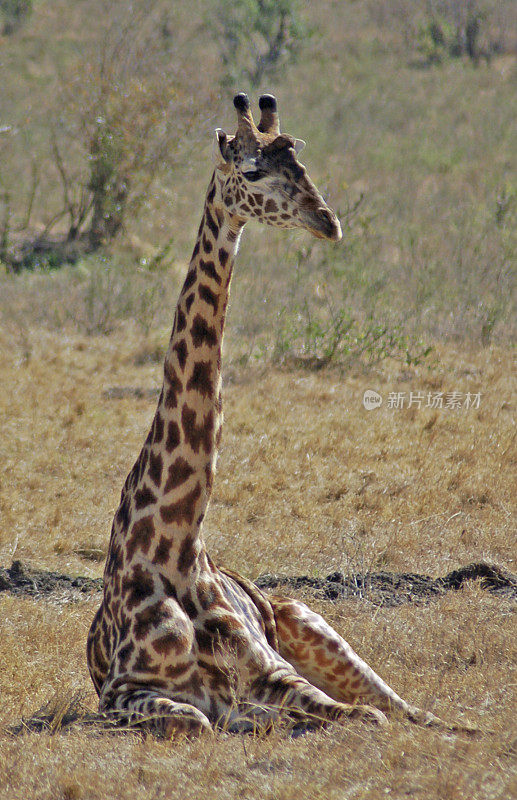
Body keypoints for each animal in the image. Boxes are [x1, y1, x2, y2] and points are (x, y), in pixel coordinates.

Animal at [86, 94, 458, 736]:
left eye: (302, 163)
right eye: (254, 171)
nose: (327, 220)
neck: (173, 549)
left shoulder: (275, 675)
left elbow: (359, 716)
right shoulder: (121, 691)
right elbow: (198, 719)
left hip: (312, 622)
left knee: (403, 707)